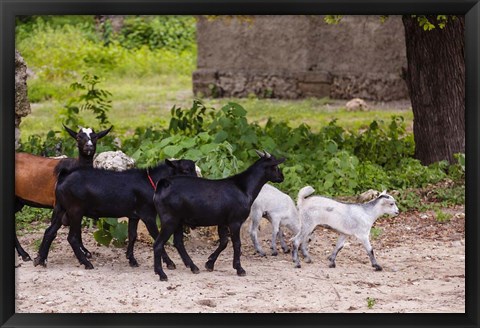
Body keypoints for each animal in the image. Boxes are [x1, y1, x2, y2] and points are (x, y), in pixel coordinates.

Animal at [14, 124, 112, 262]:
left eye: (96, 137)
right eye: (78, 137)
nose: (89, 147)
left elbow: (77, 228)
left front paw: (85, 251)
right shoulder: (60, 204)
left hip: (19, 200)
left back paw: (24, 254)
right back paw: (25, 254)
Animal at [32, 159, 196, 270]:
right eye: (186, 170)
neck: (150, 182)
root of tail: (64, 176)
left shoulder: (134, 216)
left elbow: (132, 235)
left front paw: (131, 259)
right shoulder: (148, 215)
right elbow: (156, 237)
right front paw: (170, 263)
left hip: (61, 209)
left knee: (49, 232)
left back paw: (40, 259)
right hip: (75, 211)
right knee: (71, 237)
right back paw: (86, 263)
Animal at [153, 150, 284, 280]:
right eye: (275, 166)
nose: (282, 177)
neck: (243, 187)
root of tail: (163, 184)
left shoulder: (222, 222)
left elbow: (224, 242)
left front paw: (209, 263)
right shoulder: (235, 221)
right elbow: (237, 244)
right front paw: (239, 268)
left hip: (178, 221)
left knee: (178, 242)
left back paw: (193, 267)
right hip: (169, 220)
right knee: (158, 244)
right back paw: (161, 273)